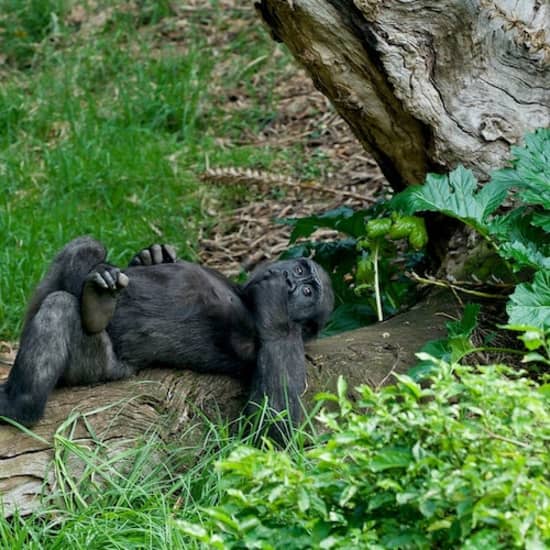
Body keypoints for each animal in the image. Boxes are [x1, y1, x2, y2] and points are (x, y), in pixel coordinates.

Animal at [0, 237, 334, 440]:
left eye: (308, 292)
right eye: (299, 269)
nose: (290, 281)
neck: (244, 296)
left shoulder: (285, 339)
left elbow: (272, 426)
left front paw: (276, 301)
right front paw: (152, 255)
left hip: (97, 368)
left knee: (61, 306)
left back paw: (17, 406)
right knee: (84, 250)